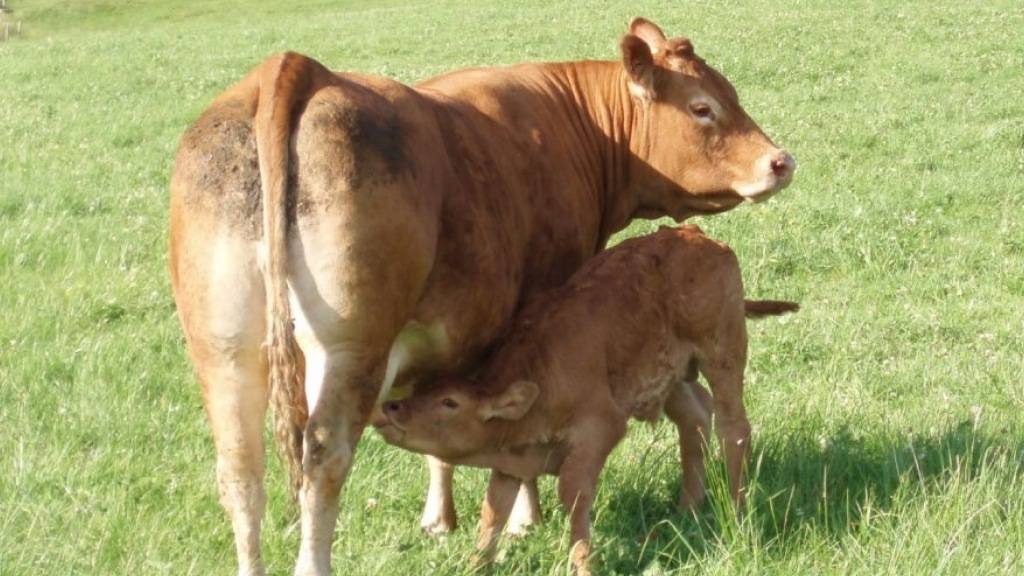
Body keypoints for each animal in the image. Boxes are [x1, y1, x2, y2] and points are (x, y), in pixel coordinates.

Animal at [376, 225, 798, 573]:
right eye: (423, 391)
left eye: (450, 402)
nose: (391, 407)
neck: (540, 375)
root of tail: (699, 236)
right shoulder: (510, 465)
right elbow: (493, 513)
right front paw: (476, 565)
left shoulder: (600, 430)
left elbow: (573, 498)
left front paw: (582, 564)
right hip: (673, 374)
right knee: (695, 417)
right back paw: (687, 509)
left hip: (723, 353)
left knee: (733, 427)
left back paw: (736, 510)